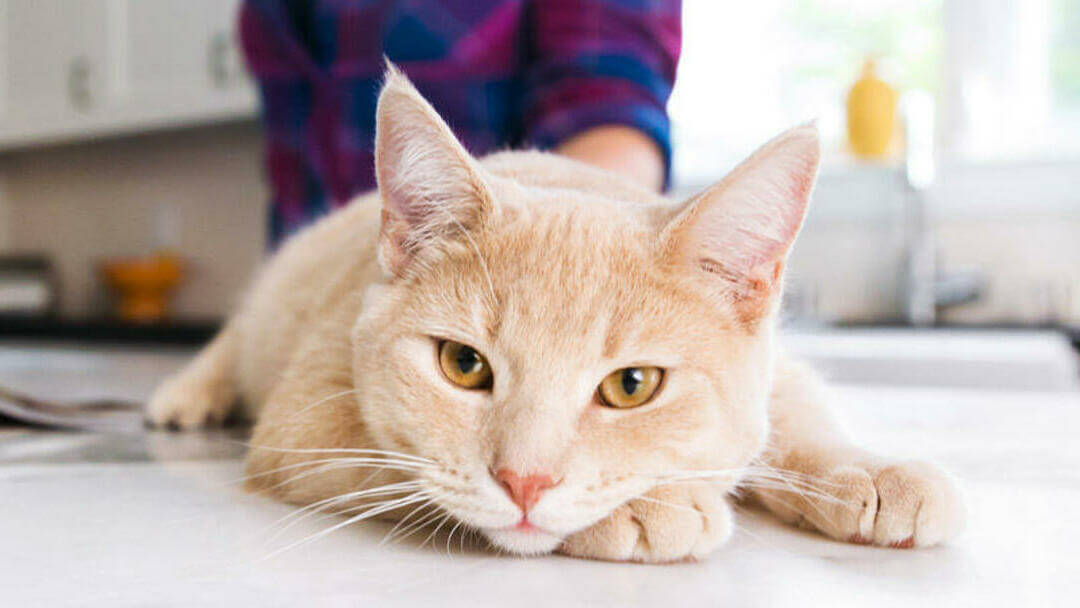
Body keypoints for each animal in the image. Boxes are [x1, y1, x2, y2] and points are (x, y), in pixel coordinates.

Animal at [143, 65, 963, 561]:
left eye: (632, 386)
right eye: (463, 365)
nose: (526, 484)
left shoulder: (776, 369)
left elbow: (792, 416)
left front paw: (866, 468)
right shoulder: (305, 421)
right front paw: (644, 508)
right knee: (232, 335)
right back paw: (188, 393)